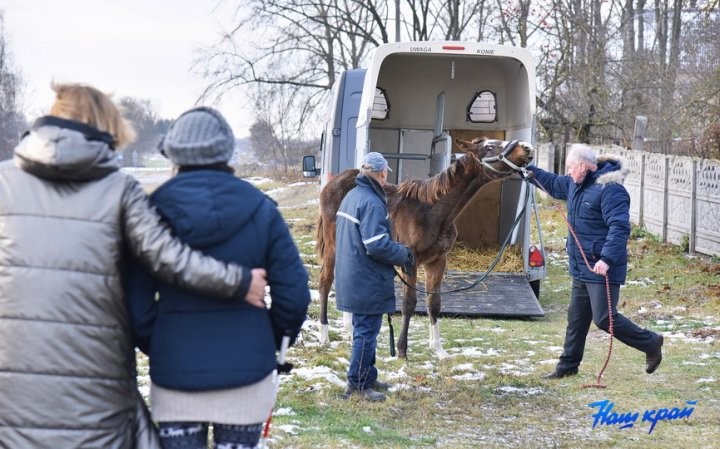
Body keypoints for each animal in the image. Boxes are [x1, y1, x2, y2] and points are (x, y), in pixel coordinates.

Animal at [315, 138, 534, 359]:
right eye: (489, 147)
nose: (527, 147)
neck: (434, 212)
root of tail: (334, 182)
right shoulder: (410, 261)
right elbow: (409, 303)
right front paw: (402, 351)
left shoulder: (437, 262)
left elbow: (434, 303)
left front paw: (438, 350)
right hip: (333, 245)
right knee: (325, 281)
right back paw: (324, 336)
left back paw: (349, 330)